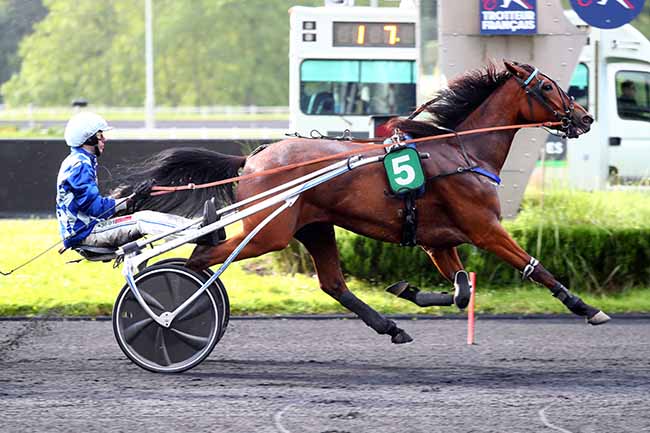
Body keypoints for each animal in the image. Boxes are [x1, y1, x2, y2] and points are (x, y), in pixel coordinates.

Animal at [121, 61, 608, 344]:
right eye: (549, 87)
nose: (585, 118)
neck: (462, 152)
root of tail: (252, 159)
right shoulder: (484, 229)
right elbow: (534, 267)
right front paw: (586, 308)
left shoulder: (439, 241)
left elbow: (461, 291)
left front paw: (407, 290)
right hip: (269, 232)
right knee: (201, 258)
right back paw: (172, 311)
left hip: (314, 227)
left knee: (333, 284)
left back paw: (390, 327)